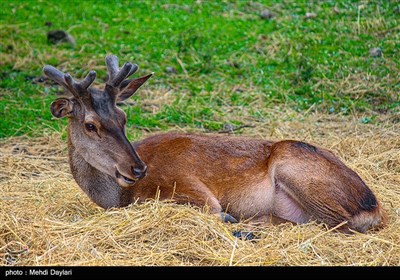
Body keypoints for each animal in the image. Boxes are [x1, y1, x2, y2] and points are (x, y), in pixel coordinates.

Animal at [43, 54, 388, 234]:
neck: (118, 196)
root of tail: (374, 207)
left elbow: (210, 209)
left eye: (124, 117)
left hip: (294, 165)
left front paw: (229, 218)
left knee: (333, 225)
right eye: (90, 125)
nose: (138, 168)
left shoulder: (188, 186)